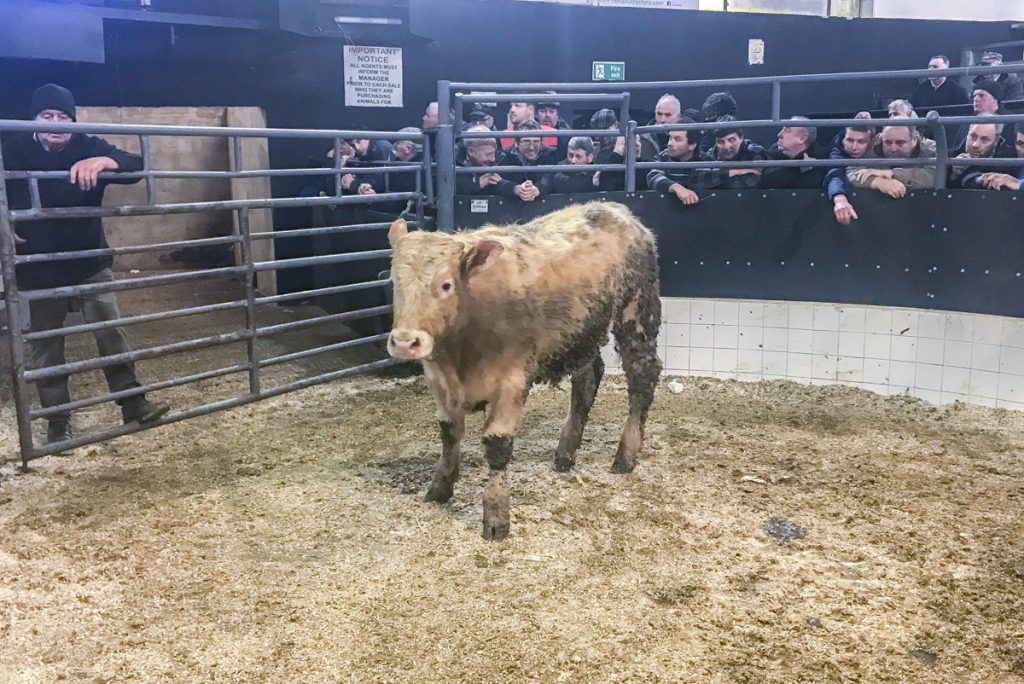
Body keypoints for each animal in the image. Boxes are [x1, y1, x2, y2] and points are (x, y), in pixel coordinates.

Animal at [387, 202, 661, 540]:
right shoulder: (439, 382)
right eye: (394, 283)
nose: (404, 342)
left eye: (445, 284)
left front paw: (496, 517)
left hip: (637, 312)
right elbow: (449, 435)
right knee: (588, 378)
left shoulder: (512, 380)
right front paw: (440, 487)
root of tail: (616, 210)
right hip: (580, 333)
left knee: (642, 375)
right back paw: (565, 452)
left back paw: (625, 455)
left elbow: (497, 445)